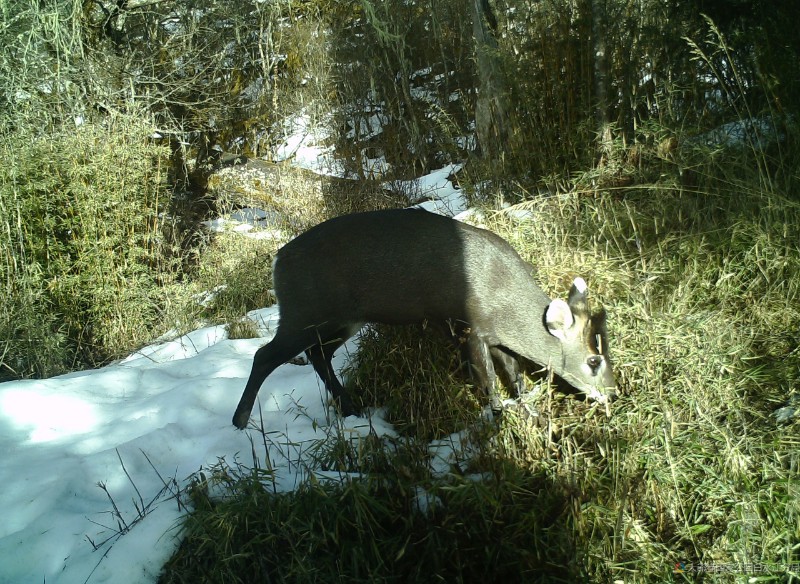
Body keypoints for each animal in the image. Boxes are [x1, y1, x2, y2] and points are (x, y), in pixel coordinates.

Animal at [233, 206, 620, 428]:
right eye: (593, 360)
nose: (614, 394)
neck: (503, 295)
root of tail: (277, 261)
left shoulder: (494, 334)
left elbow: (514, 376)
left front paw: (531, 414)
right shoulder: (470, 326)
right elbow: (488, 380)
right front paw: (499, 417)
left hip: (343, 319)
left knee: (318, 354)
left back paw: (350, 408)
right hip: (303, 312)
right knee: (265, 355)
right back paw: (240, 420)